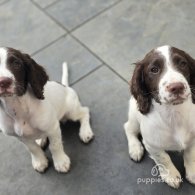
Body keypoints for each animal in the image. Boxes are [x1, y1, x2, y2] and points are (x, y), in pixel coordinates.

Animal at [124, 45, 195, 188]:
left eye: (183, 63)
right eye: (154, 70)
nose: (177, 87)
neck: (173, 112)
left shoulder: (193, 136)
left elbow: (190, 153)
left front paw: (192, 172)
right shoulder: (152, 144)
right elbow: (163, 158)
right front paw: (171, 175)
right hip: (134, 117)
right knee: (128, 127)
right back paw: (135, 148)